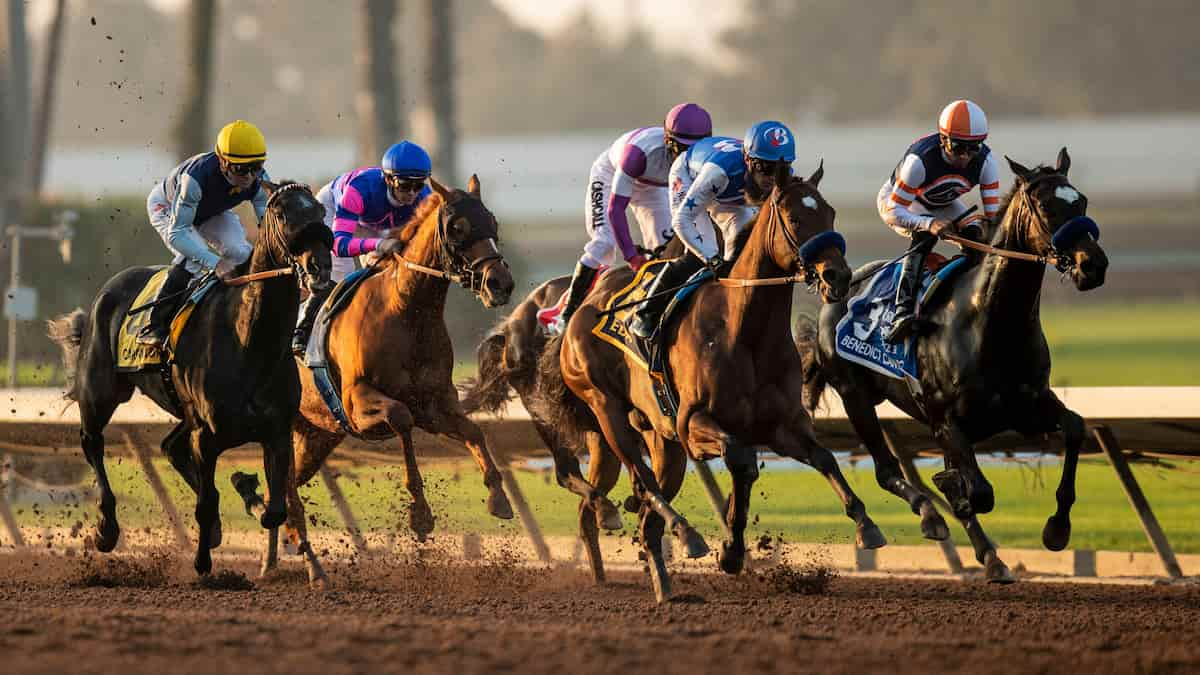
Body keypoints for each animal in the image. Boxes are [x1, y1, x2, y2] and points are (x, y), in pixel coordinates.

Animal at [49, 181, 333, 576]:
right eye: (281, 213)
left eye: (320, 211)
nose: (319, 267)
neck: (250, 343)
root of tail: (107, 291)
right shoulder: (207, 435)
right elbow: (208, 501)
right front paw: (202, 561)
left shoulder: (276, 432)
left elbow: (274, 509)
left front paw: (248, 496)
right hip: (100, 392)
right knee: (92, 442)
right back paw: (107, 530)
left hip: (181, 410)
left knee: (170, 447)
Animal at [242, 172, 516, 583]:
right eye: (457, 227)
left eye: (493, 222)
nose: (500, 283)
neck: (406, 310)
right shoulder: (358, 404)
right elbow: (401, 419)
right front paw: (420, 514)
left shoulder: (434, 404)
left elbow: (473, 431)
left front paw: (498, 498)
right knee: (285, 488)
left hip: (317, 436)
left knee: (286, 487)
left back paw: (269, 559)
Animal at [535, 165, 883, 600]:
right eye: (794, 218)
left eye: (830, 213)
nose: (837, 275)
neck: (744, 331)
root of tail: (579, 310)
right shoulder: (693, 424)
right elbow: (741, 460)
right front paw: (730, 548)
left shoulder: (783, 425)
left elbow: (822, 459)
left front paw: (866, 525)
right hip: (607, 410)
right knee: (642, 478)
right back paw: (684, 534)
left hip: (664, 442)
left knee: (649, 517)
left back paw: (665, 586)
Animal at [796, 149, 1104, 581]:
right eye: (1046, 206)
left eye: (1082, 202)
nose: (1093, 265)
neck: (992, 322)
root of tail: (837, 291)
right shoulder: (946, 421)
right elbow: (977, 492)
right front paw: (953, 496)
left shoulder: (1027, 408)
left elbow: (1075, 429)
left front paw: (1057, 529)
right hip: (855, 396)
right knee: (887, 470)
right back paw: (929, 519)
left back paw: (990, 556)